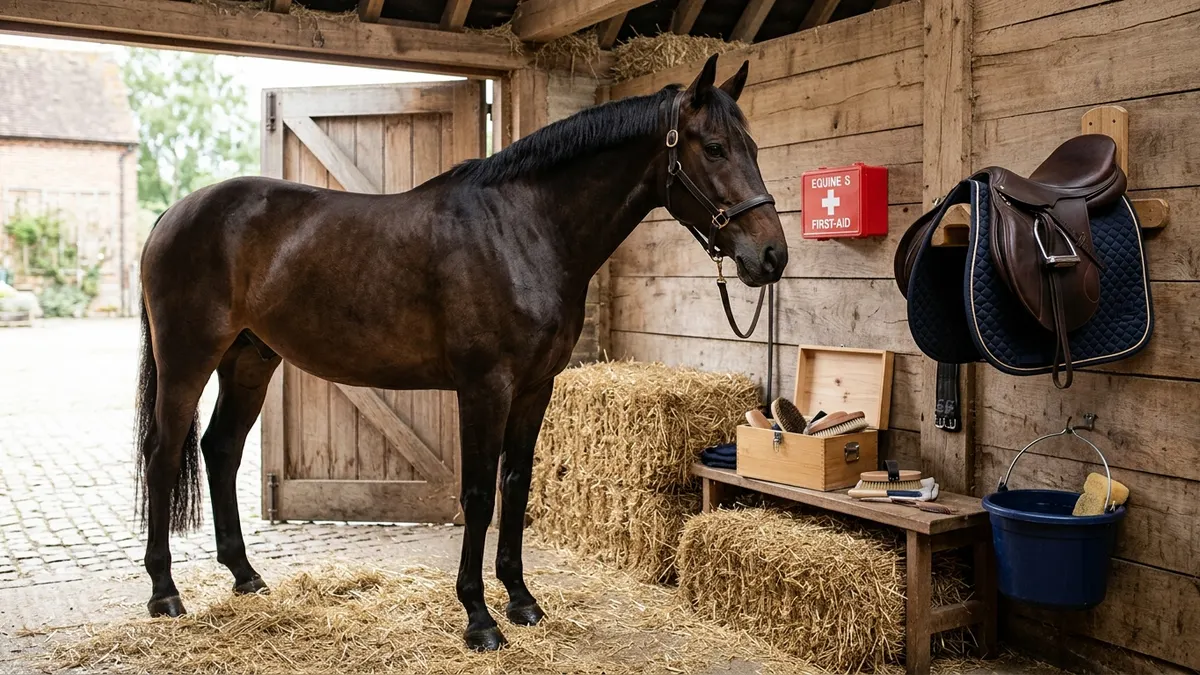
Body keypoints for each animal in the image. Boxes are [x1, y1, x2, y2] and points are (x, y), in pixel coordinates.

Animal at [133, 53, 787, 651]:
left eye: (754, 147)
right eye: (713, 147)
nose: (772, 256)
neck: (522, 230)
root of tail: (173, 213)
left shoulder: (535, 388)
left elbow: (515, 485)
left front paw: (521, 600)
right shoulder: (484, 388)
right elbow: (477, 494)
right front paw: (479, 618)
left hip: (249, 360)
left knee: (220, 449)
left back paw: (245, 577)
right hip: (188, 359)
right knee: (163, 453)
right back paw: (165, 592)